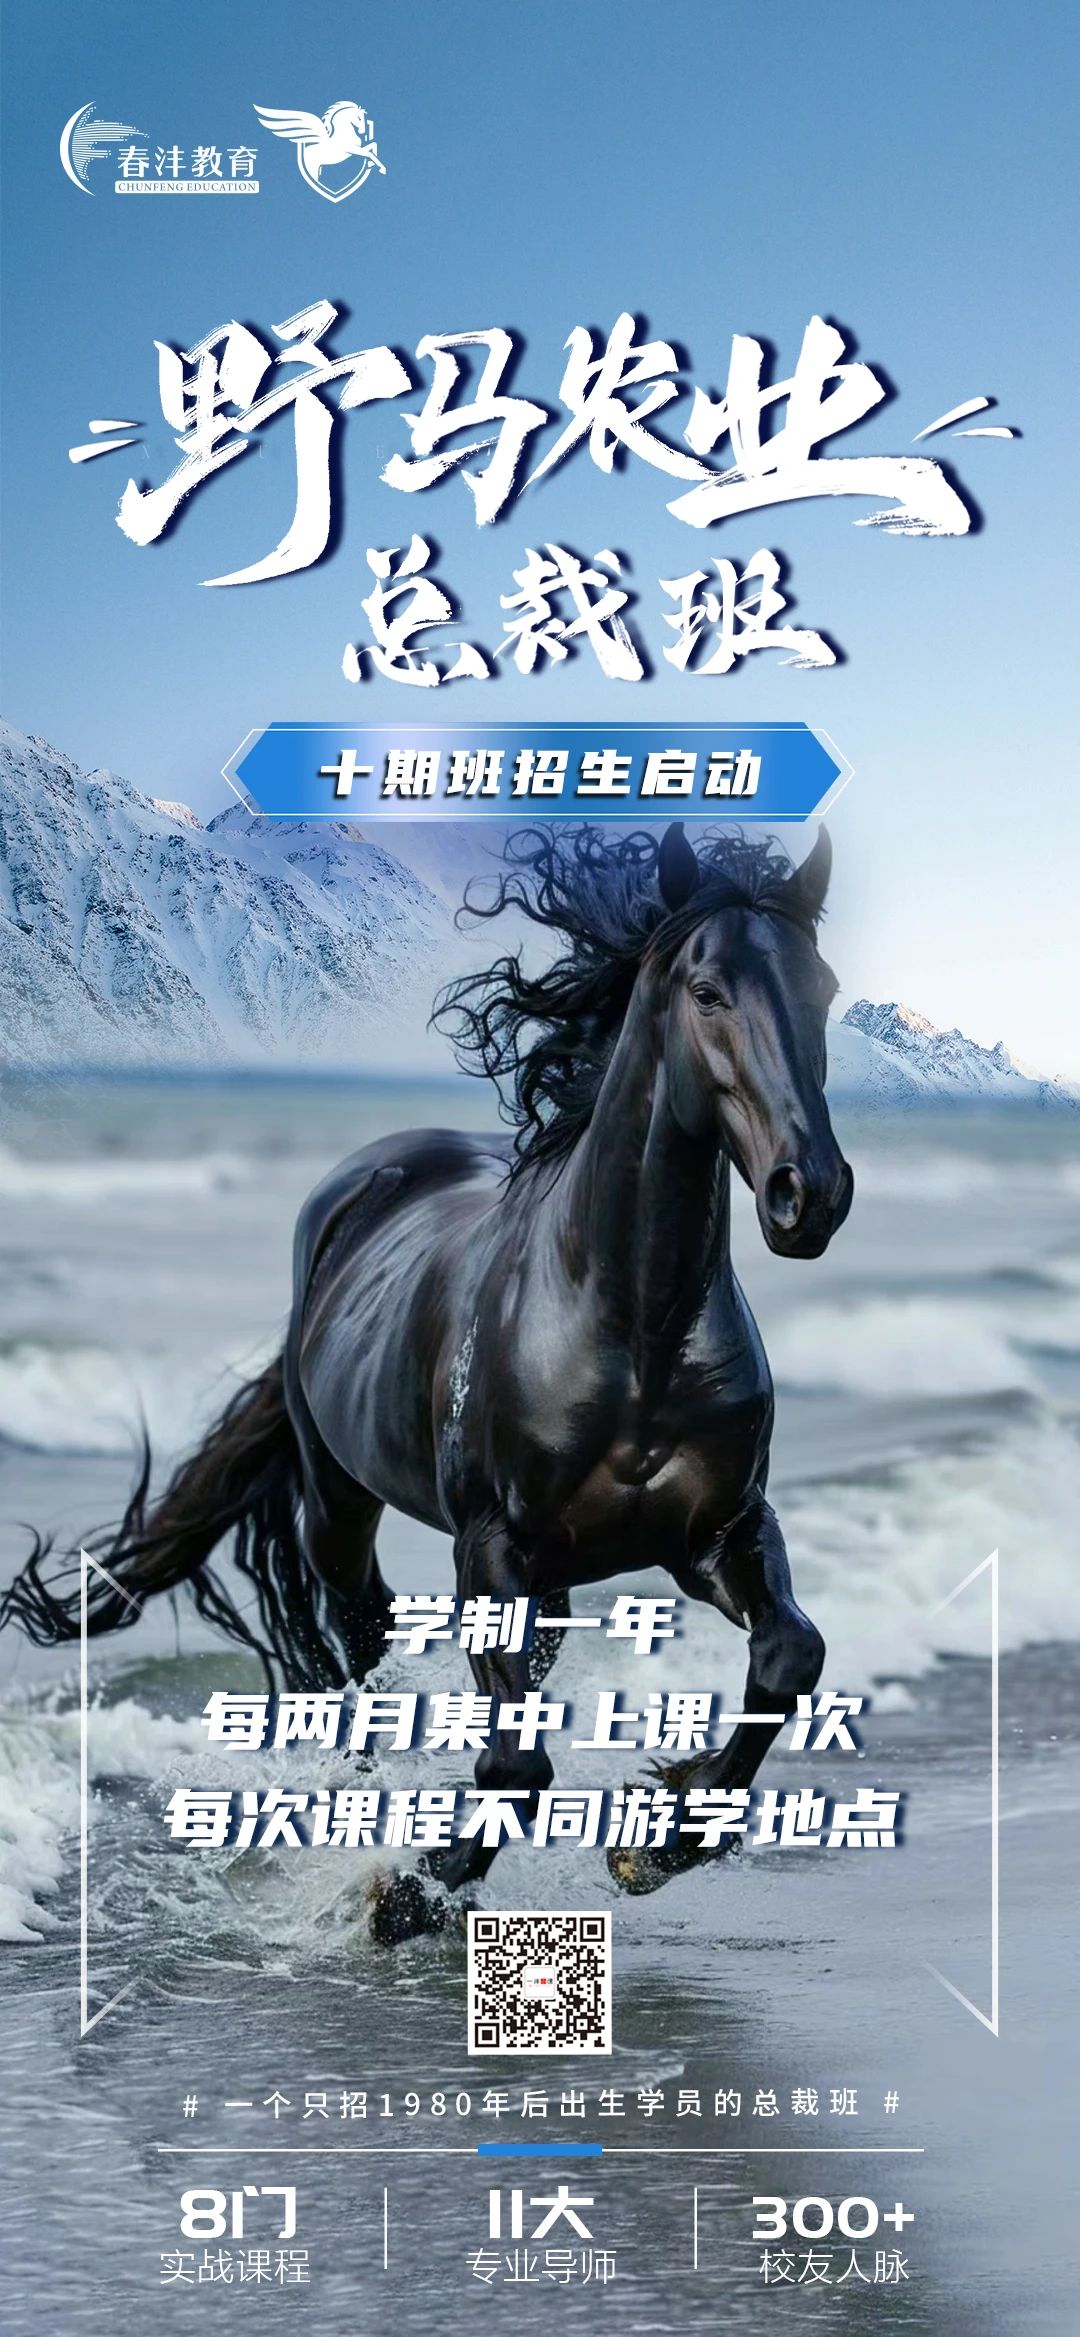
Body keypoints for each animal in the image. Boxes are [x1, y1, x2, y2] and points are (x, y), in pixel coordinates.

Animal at [2, 821, 853, 1940]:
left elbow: (790, 1656)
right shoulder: (491, 1545)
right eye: (707, 991)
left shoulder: (717, 1532)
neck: (632, 1329)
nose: (812, 1195)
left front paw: (658, 1839)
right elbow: (515, 1763)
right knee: (360, 1645)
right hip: (338, 1505)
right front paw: (410, 1884)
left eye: (825, 989)